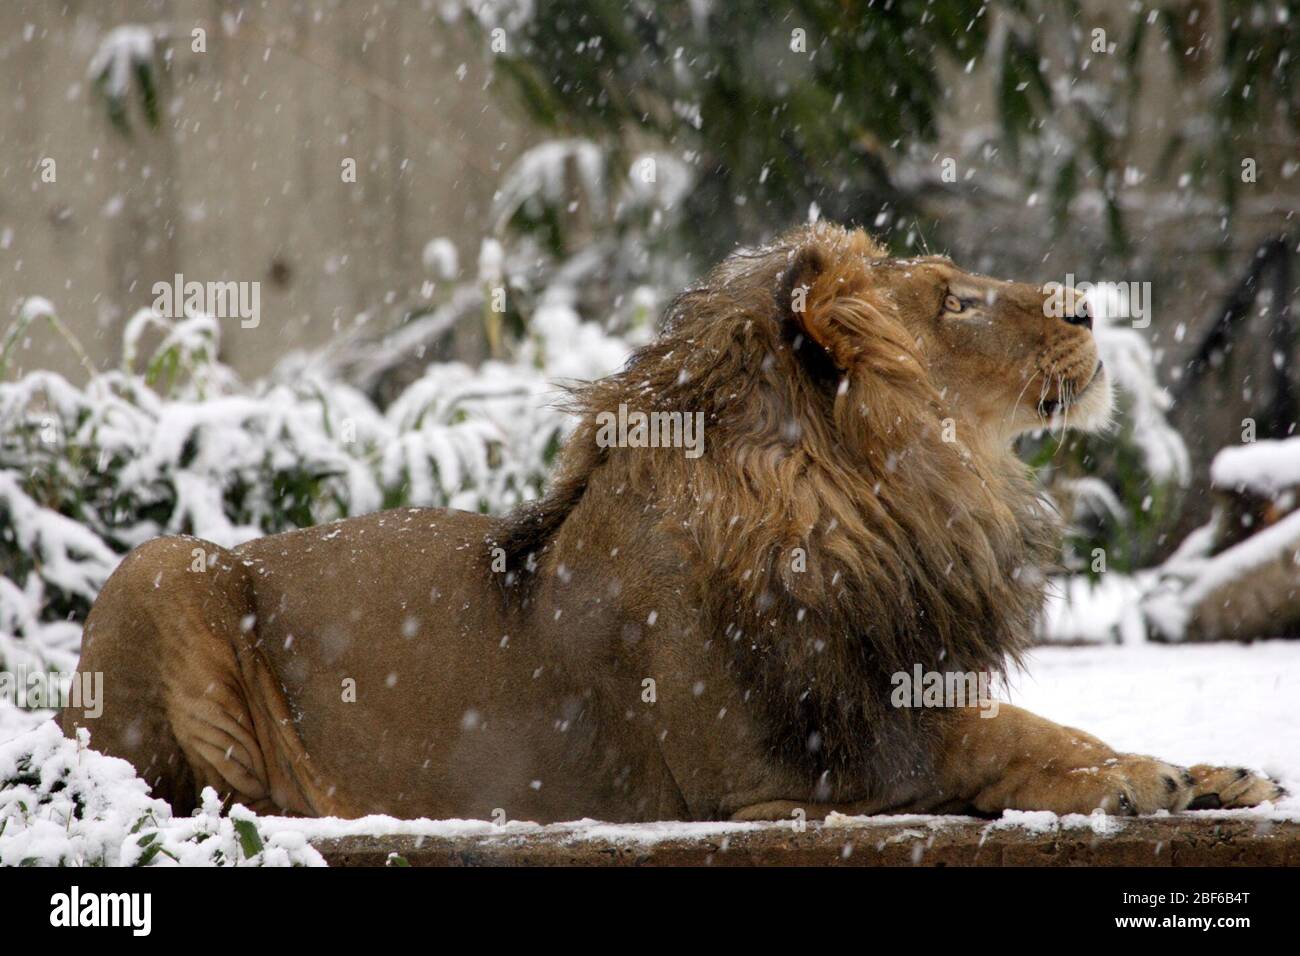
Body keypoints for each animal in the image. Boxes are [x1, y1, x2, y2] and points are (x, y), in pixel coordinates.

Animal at [61, 223, 1279, 822]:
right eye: (955, 300)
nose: (1091, 308)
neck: (884, 502)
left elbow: (1032, 724)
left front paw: (1210, 772)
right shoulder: (776, 769)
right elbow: (991, 739)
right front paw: (1133, 778)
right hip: (167, 567)